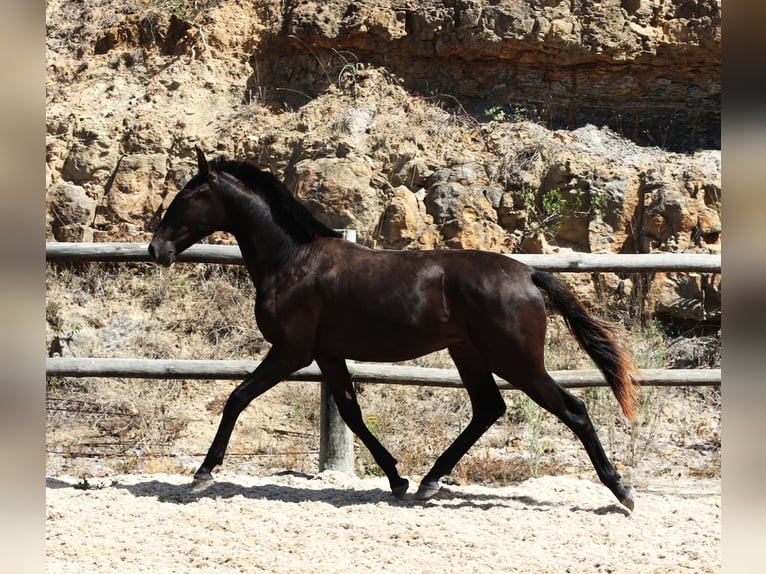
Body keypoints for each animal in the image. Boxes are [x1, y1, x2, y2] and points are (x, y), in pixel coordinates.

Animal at [148, 150, 640, 512]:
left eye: (185, 197)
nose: (156, 250)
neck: (291, 260)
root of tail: (530, 274)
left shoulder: (291, 351)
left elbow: (237, 398)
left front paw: (202, 474)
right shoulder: (327, 354)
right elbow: (352, 415)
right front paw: (397, 478)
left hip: (515, 360)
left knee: (572, 408)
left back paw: (622, 491)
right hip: (469, 353)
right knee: (488, 409)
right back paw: (428, 482)